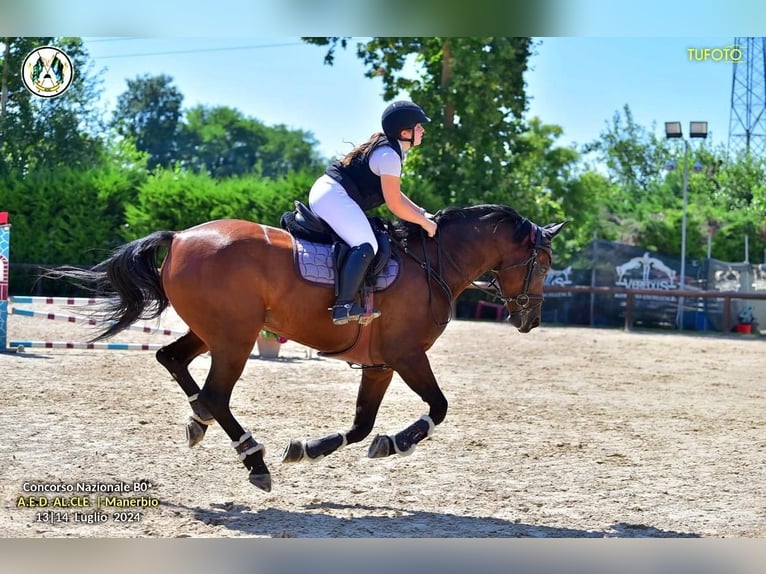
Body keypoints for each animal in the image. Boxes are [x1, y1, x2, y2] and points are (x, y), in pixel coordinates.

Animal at [55, 204, 566, 492]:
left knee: (175, 361)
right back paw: (253, 458)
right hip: (236, 339)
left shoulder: (380, 364)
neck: (433, 263)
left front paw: (311, 449)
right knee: (216, 394)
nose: (532, 320)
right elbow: (438, 408)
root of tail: (180, 236)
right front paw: (399, 443)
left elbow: (361, 426)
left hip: (215, 332)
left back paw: (199, 421)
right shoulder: (407, 356)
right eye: (544, 263)